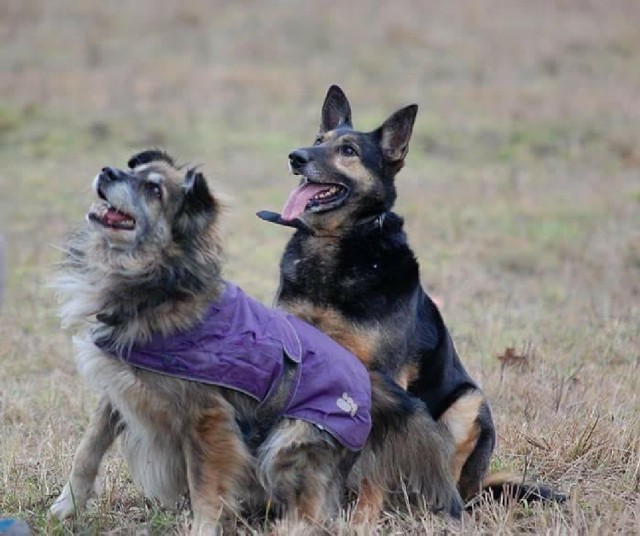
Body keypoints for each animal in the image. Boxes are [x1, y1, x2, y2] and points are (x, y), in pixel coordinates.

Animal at [258, 85, 568, 510]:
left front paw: (361, 515)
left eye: (348, 150)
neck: (338, 244)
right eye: (319, 140)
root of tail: (476, 489)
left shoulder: (383, 379)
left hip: (468, 404)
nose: (296, 156)